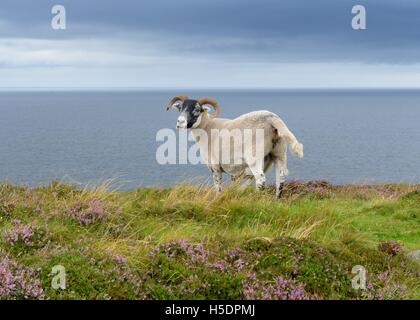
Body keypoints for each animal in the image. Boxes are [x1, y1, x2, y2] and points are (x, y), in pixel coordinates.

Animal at [166, 94, 304, 198]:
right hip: (279, 153)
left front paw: (217, 199)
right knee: (280, 179)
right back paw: (276, 201)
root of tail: (272, 118)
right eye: (180, 108)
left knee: (260, 179)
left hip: (254, 157)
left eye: (196, 109)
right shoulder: (234, 172)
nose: (180, 122)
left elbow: (218, 186)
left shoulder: (215, 166)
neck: (207, 127)